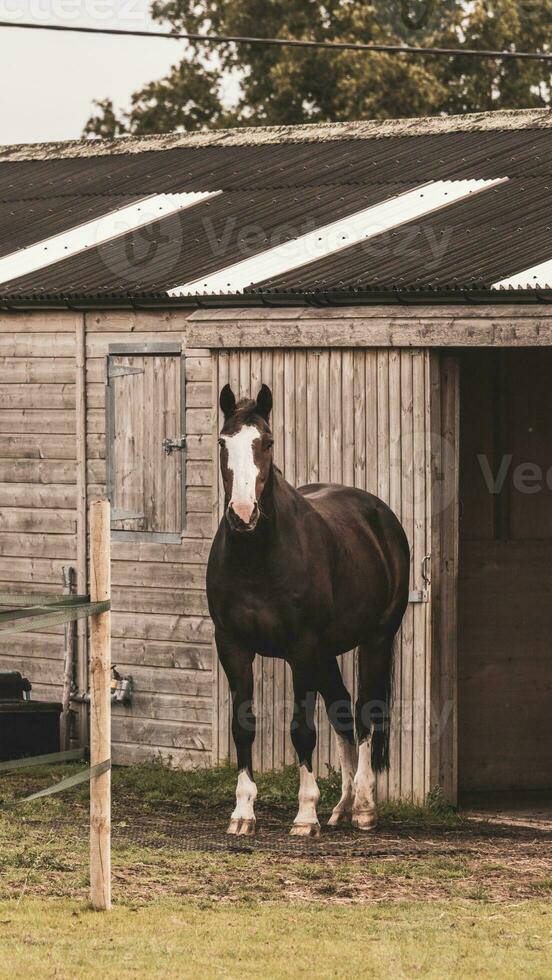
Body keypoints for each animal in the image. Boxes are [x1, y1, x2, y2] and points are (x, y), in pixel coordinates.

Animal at [207, 382, 410, 836]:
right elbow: (243, 726)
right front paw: (243, 812)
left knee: (366, 712)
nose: (243, 514)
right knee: (343, 714)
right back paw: (343, 807)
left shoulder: (301, 649)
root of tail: (379, 515)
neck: (257, 559)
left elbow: (302, 730)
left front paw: (304, 815)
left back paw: (364, 807)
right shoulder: (232, 646)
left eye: (266, 442)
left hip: (375, 640)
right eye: (223, 443)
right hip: (327, 653)